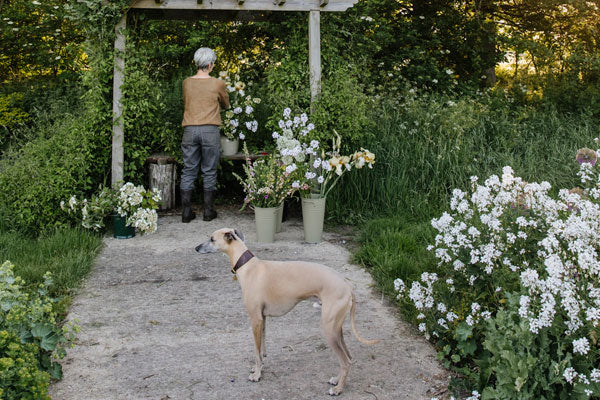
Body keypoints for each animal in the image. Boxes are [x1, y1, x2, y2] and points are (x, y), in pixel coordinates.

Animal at [195, 227, 380, 396]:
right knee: (349, 358)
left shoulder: (255, 319)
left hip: (329, 330)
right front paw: (259, 368)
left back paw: (338, 389)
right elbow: (261, 349)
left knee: (346, 362)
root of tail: (348, 285)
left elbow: (256, 350)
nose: (196, 248)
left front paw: (256, 374)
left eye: (211, 239)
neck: (248, 266)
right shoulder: (262, 319)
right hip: (336, 329)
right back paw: (336, 379)